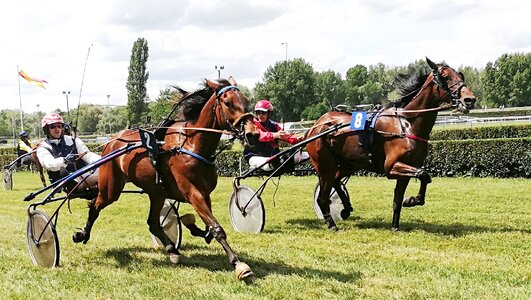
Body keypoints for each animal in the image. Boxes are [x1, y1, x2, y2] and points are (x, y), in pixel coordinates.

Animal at [71, 78, 260, 280]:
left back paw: (171, 249)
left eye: (246, 100)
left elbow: (208, 228)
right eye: (228, 102)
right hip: (111, 188)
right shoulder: (193, 193)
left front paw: (191, 225)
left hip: (156, 192)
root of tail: (113, 140)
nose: (253, 134)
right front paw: (239, 264)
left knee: (153, 223)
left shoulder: (204, 193)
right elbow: (216, 228)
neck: (192, 144)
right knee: (95, 207)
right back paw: (82, 235)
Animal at [308, 58, 478, 232]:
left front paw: (397, 223)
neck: (407, 123)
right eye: (445, 77)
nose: (469, 99)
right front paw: (411, 200)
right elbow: (424, 174)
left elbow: (402, 195)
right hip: (325, 165)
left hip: (349, 164)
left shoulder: (408, 167)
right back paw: (332, 224)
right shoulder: (391, 166)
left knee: (336, 181)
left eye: (460, 75)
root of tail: (316, 125)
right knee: (322, 197)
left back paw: (346, 208)